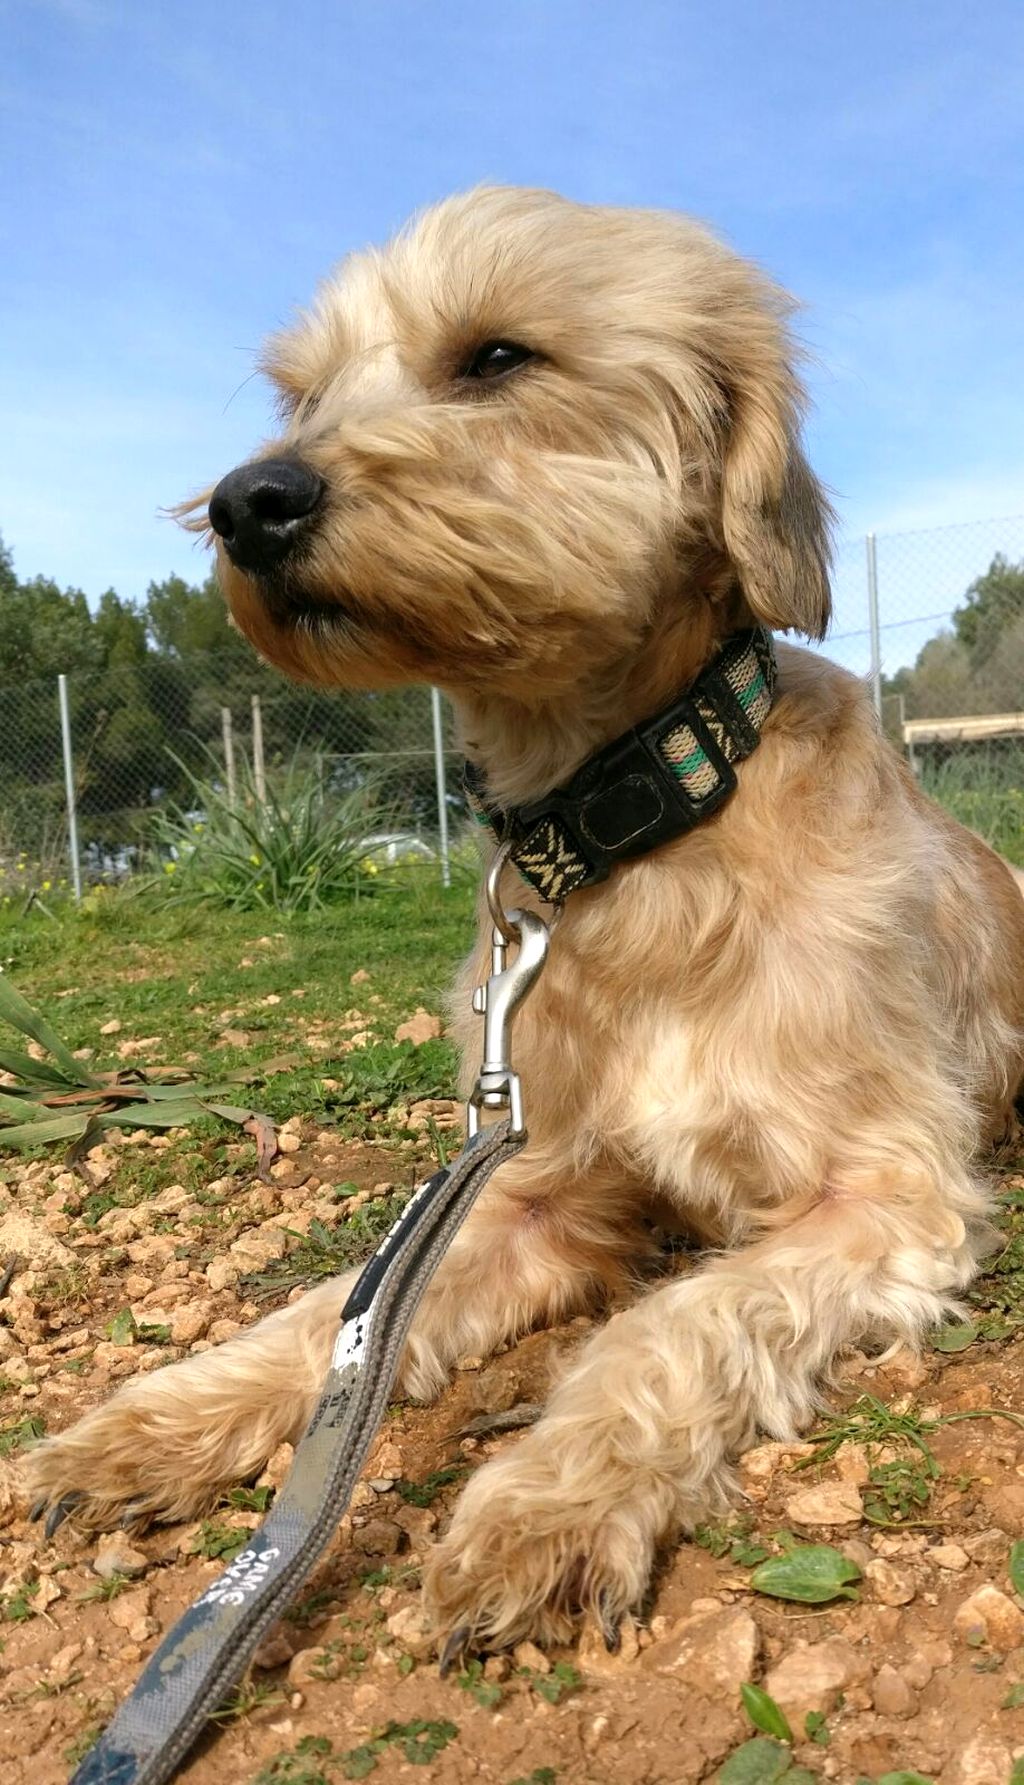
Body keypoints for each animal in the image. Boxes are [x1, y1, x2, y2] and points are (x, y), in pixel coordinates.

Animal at [27, 187, 1024, 1652]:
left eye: (498, 357)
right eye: (304, 394)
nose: (247, 500)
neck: (637, 831)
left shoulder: (887, 1193)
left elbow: (677, 1321)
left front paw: (545, 1504)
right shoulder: (529, 1192)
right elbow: (340, 1311)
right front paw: (154, 1426)